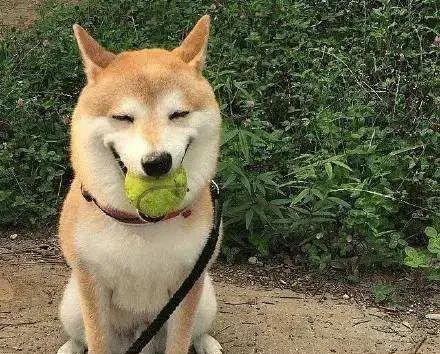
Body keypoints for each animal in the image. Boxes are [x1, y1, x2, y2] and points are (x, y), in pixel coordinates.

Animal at [57, 15, 223, 354]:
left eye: (178, 114)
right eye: (123, 117)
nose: (157, 162)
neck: (142, 225)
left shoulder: (188, 284)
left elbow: (180, 341)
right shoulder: (90, 282)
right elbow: (96, 342)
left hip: (206, 300)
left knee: (197, 332)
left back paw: (208, 343)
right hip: (71, 304)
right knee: (79, 335)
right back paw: (70, 347)